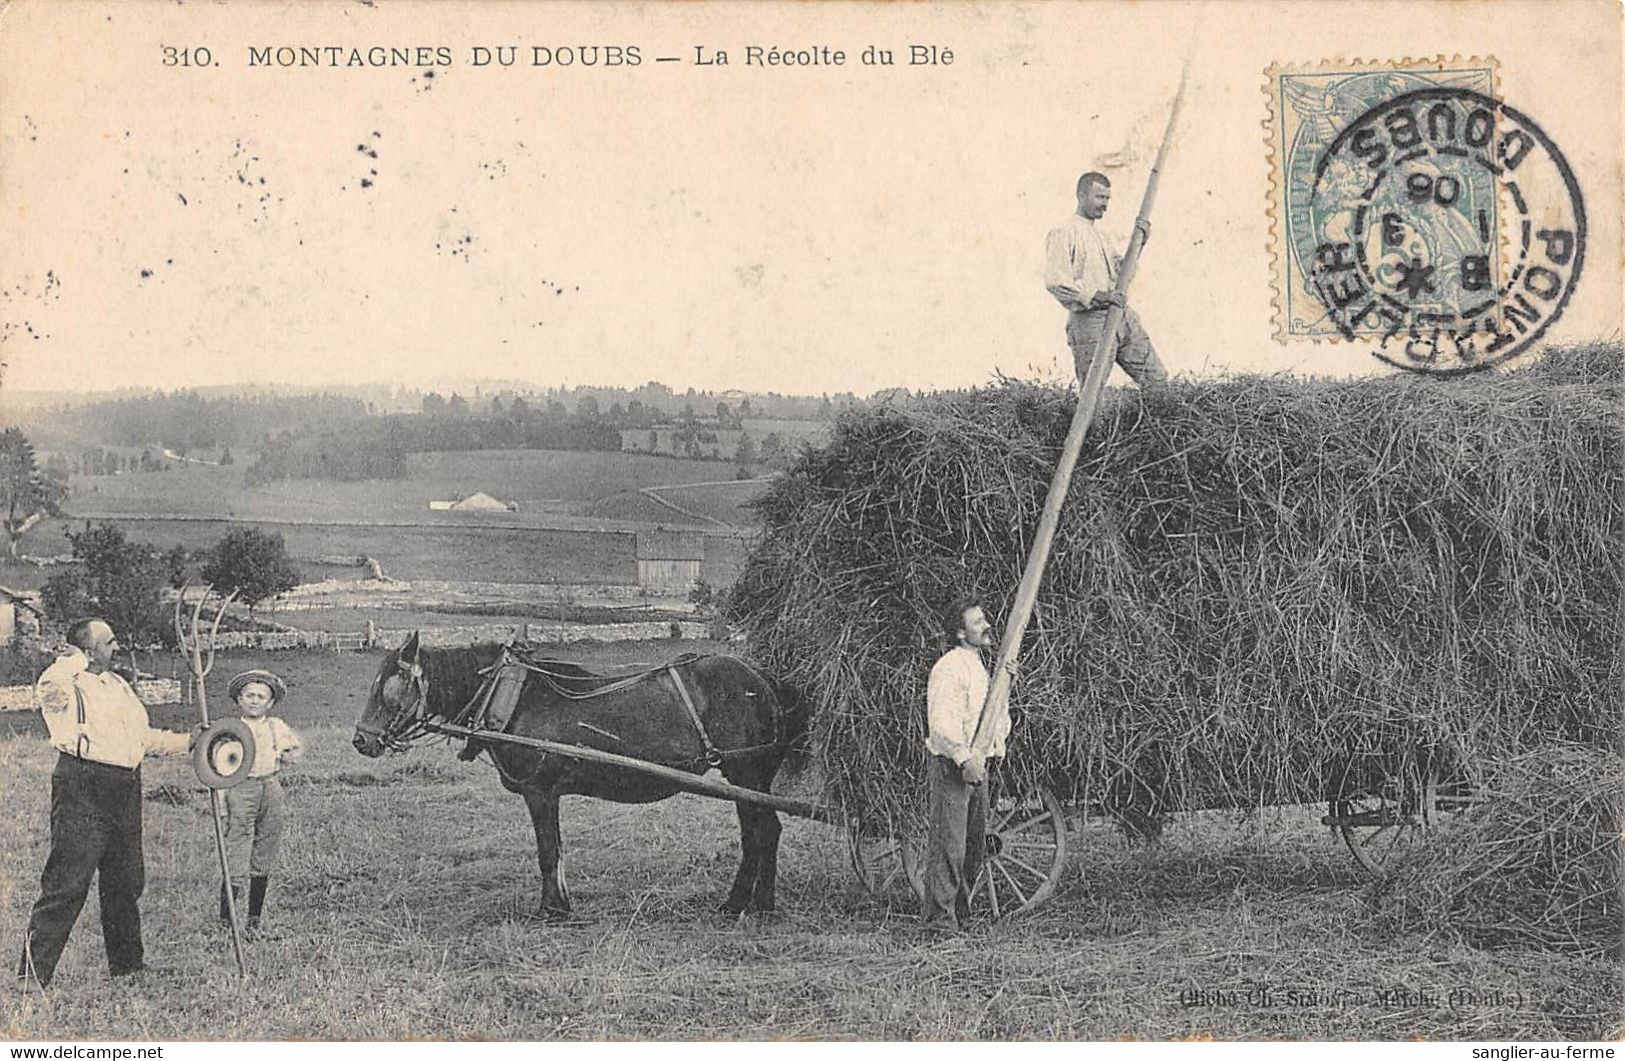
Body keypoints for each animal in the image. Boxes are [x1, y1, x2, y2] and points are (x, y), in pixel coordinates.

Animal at [352, 633, 802, 916]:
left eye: (387, 687)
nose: (361, 740)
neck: (512, 697)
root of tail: (763, 680)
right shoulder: (549, 793)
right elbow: (558, 849)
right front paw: (562, 903)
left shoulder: (539, 790)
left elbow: (548, 851)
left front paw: (550, 909)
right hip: (749, 778)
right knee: (764, 831)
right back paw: (754, 903)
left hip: (746, 772)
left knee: (761, 832)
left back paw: (747, 904)